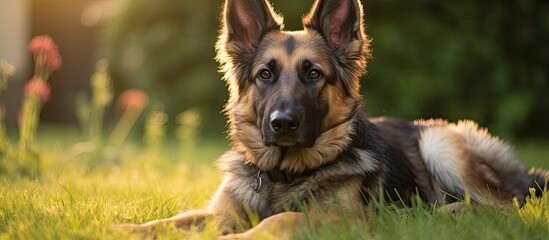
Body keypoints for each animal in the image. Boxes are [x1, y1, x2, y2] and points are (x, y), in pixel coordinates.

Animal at [121, 0, 548, 237]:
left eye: (314, 74)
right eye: (265, 74)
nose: (282, 123)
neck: (282, 175)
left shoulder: (343, 222)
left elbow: (279, 221)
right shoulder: (217, 214)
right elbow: (171, 221)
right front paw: (124, 228)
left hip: (438, 142)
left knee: (503, 208)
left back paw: (447, 212)